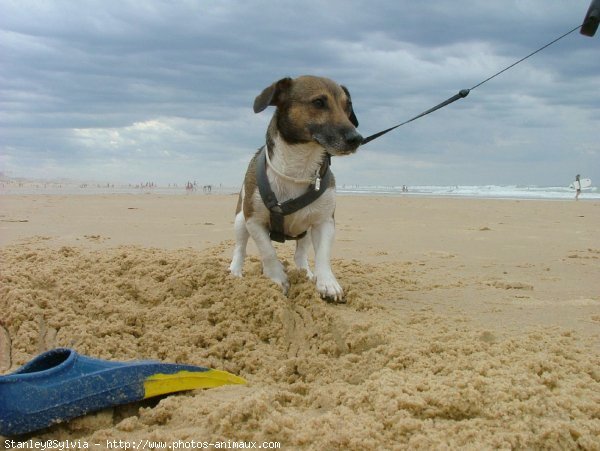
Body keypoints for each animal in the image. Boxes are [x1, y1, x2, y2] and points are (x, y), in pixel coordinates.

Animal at [229, 76, 360, 302]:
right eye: (318, 102)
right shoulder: (253, 220)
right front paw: (276, 278)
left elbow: (323, 254)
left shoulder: (324, 222)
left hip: (305, 230)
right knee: (240, 247)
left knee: (300, 253)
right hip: (240, 220)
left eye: (348, 106)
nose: (357, 139)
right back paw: (235, 272)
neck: (298, 167)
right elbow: (268, 251)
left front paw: (327, 283)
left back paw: (304, 272)